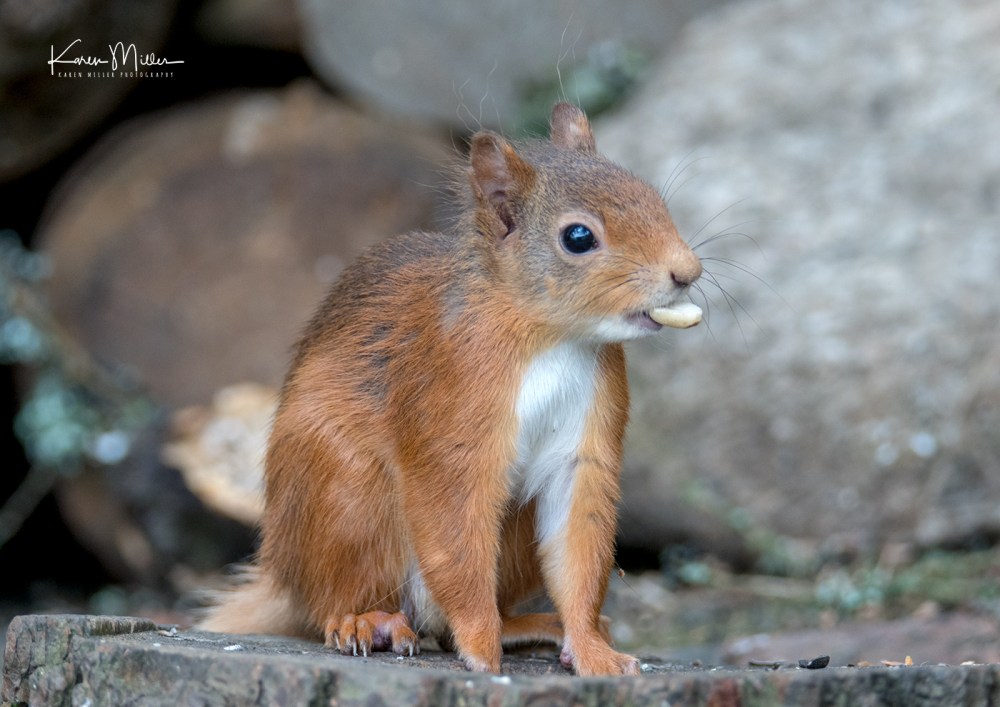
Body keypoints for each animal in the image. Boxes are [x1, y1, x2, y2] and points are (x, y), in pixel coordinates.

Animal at [198, 102, 703, 677]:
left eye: (652, 196)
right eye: (578, 237)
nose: (686, 272)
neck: (550, 335)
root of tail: (285, 577)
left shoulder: (584, 448)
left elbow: (580, 549)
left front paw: (592, 650)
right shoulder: (453, 412)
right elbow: (455, 537)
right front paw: (482, 649)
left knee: (441, 623)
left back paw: (530, 626)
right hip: (348, 498)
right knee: (339, 601)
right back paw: (367, 621)